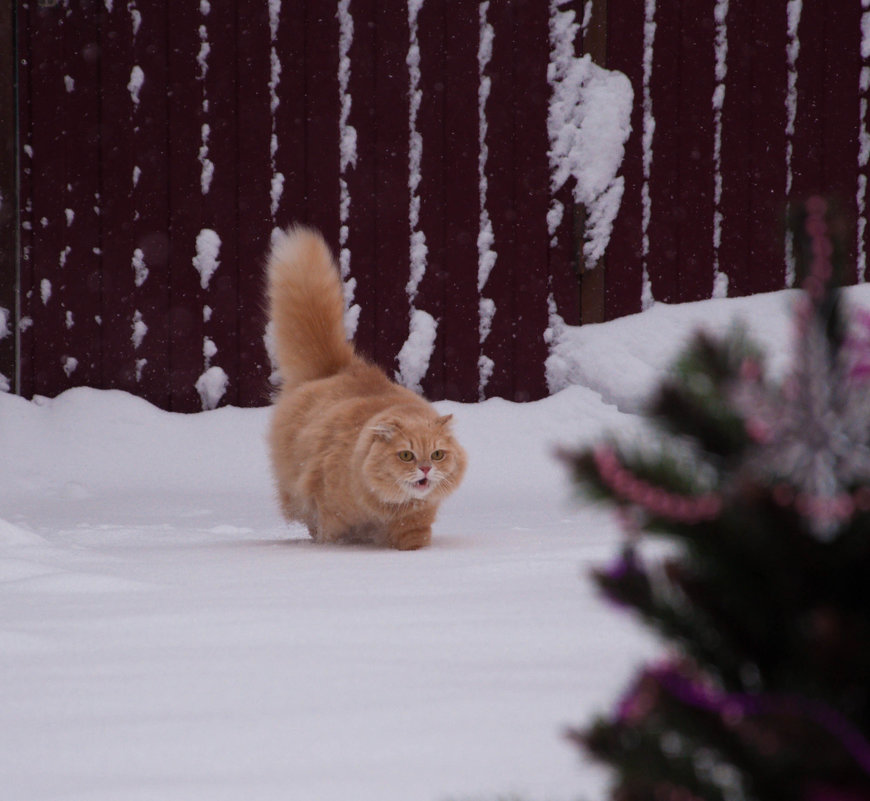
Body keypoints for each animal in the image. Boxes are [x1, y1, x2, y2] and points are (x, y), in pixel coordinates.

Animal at [268, 225, 466, 552]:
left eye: (438, 455)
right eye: (406, 456)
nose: (426, 469)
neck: (385, 507)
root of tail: (338, 368)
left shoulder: (414, 525)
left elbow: (414, 543)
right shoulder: (332, 517)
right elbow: (331, 536)